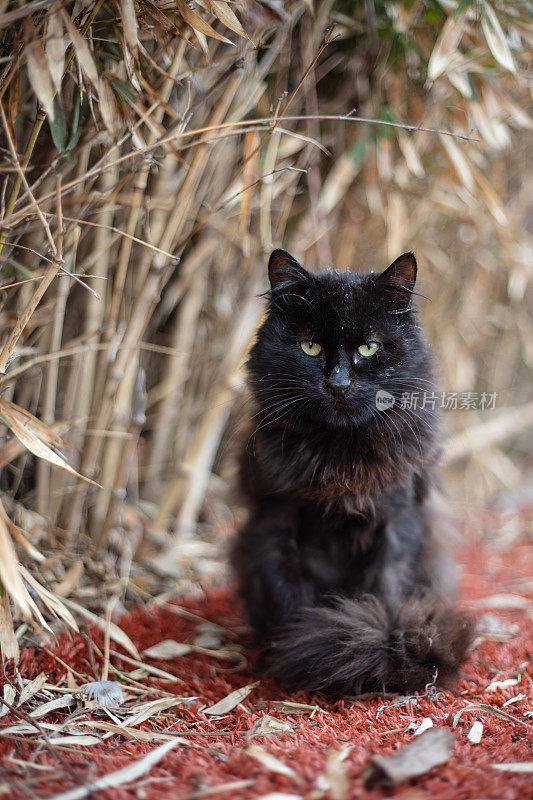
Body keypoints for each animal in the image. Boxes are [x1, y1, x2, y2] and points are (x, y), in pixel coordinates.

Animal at [231, 250, 472, 692]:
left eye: (368, 347)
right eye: (309, 346)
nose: (338, 384)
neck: (340, 454)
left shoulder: (397, 520)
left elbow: (387, 590)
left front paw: (385, 650)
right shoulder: (276, 521)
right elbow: (291, 598)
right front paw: (301, 649)